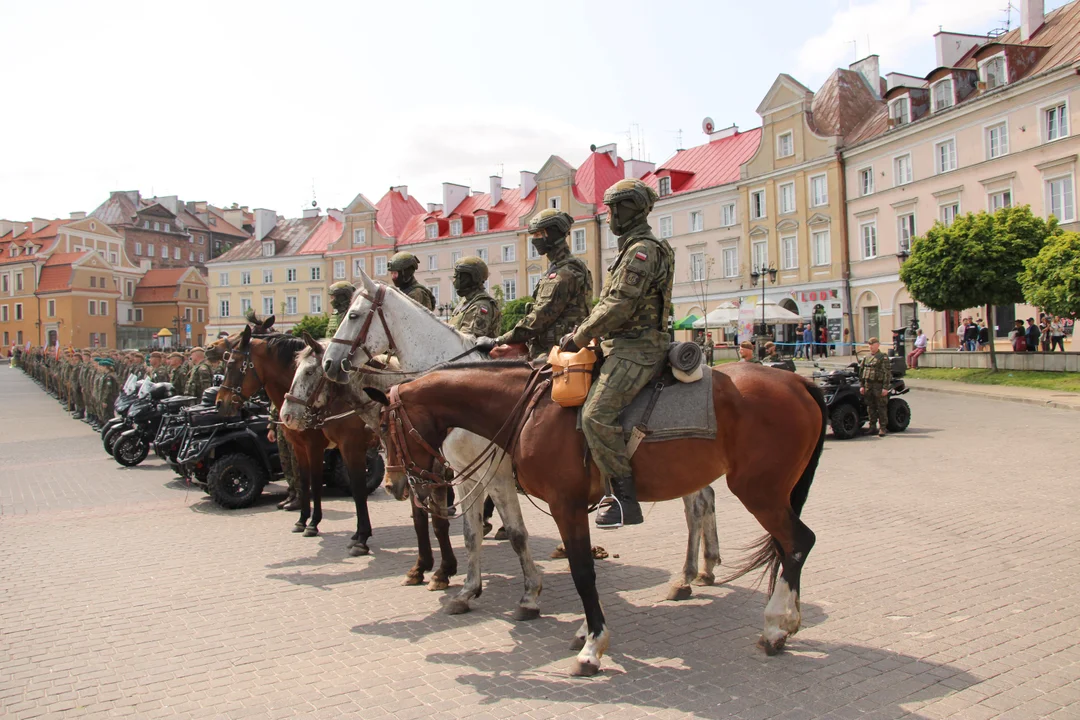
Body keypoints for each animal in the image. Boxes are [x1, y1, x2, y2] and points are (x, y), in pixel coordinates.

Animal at [362, 362, 825, 677]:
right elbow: (493, 536)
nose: (393, 484)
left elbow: (581, 571)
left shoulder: (559, 503)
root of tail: (797, 380)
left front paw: (592, 645)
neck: (528, 411)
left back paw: (774, 624)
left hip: (759, 491)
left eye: (384, 427)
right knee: (778, 543)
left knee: (796, 542)